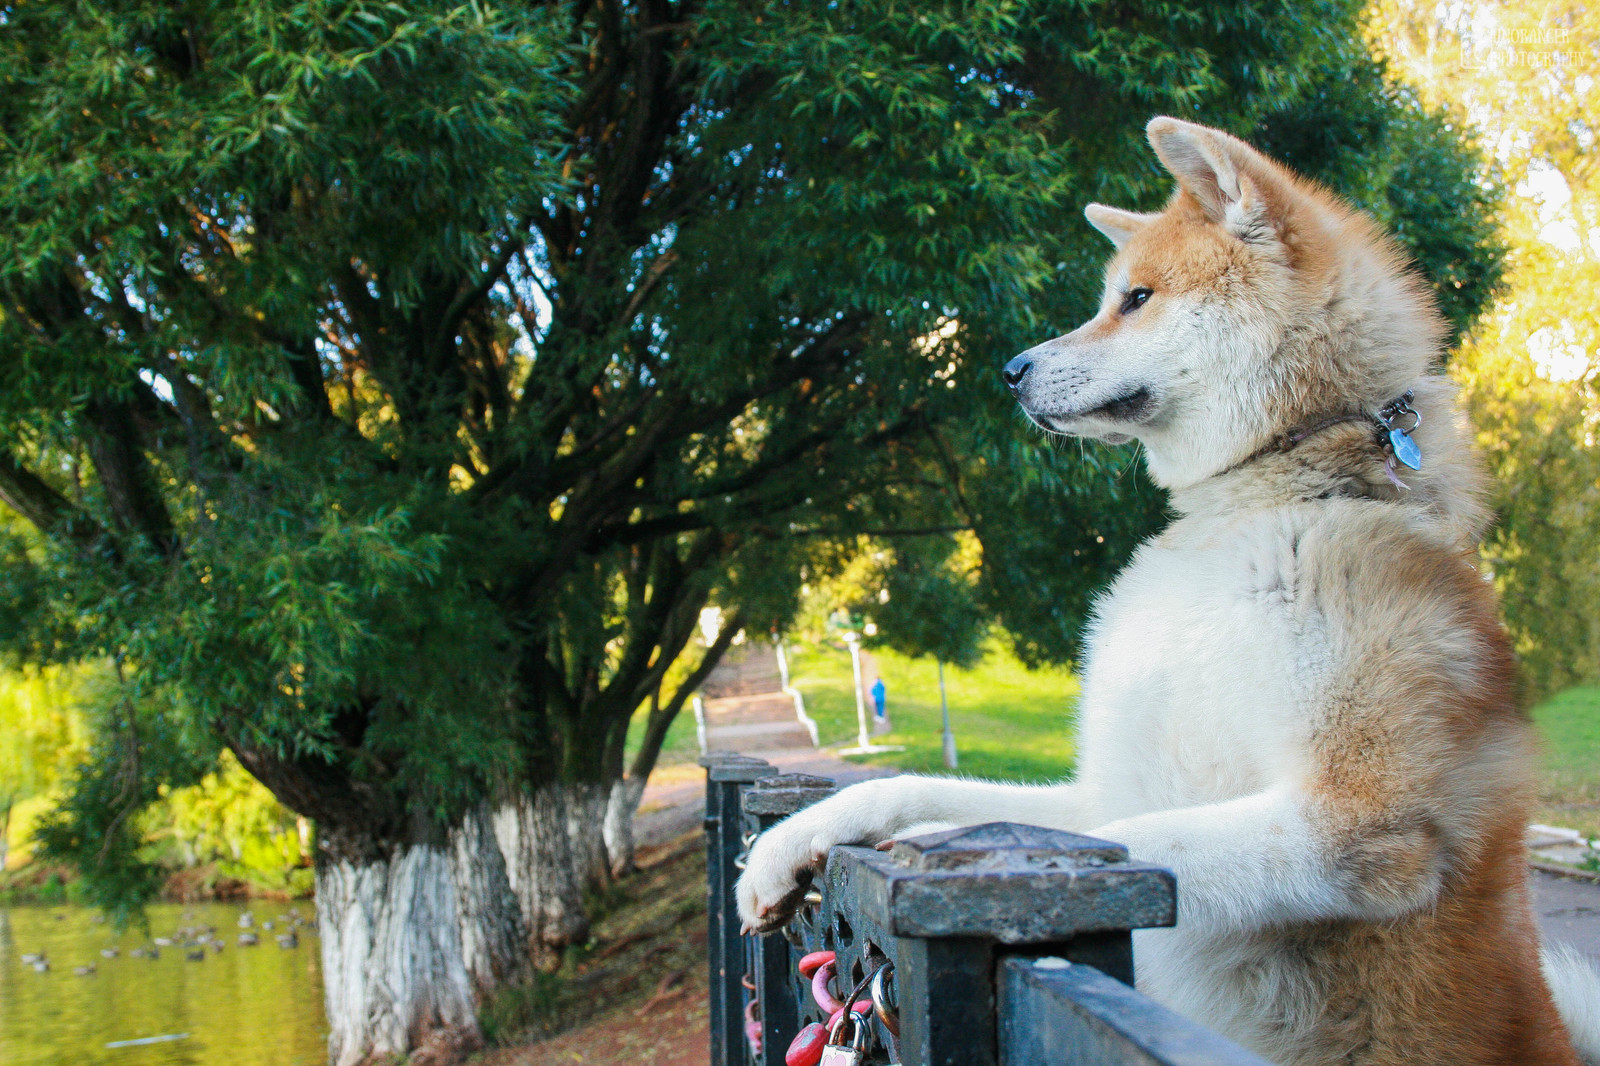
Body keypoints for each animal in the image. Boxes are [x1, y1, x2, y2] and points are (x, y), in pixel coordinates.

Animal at [739, 116, 1600, 1062]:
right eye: (1111, 297)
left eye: (1137, 299)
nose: (1010, 369)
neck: (1265, 499)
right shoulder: (1113, 780)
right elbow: (920, 788)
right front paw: (791, 844)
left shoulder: (1357, 821)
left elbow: (1123, 839)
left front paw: (936, 851)